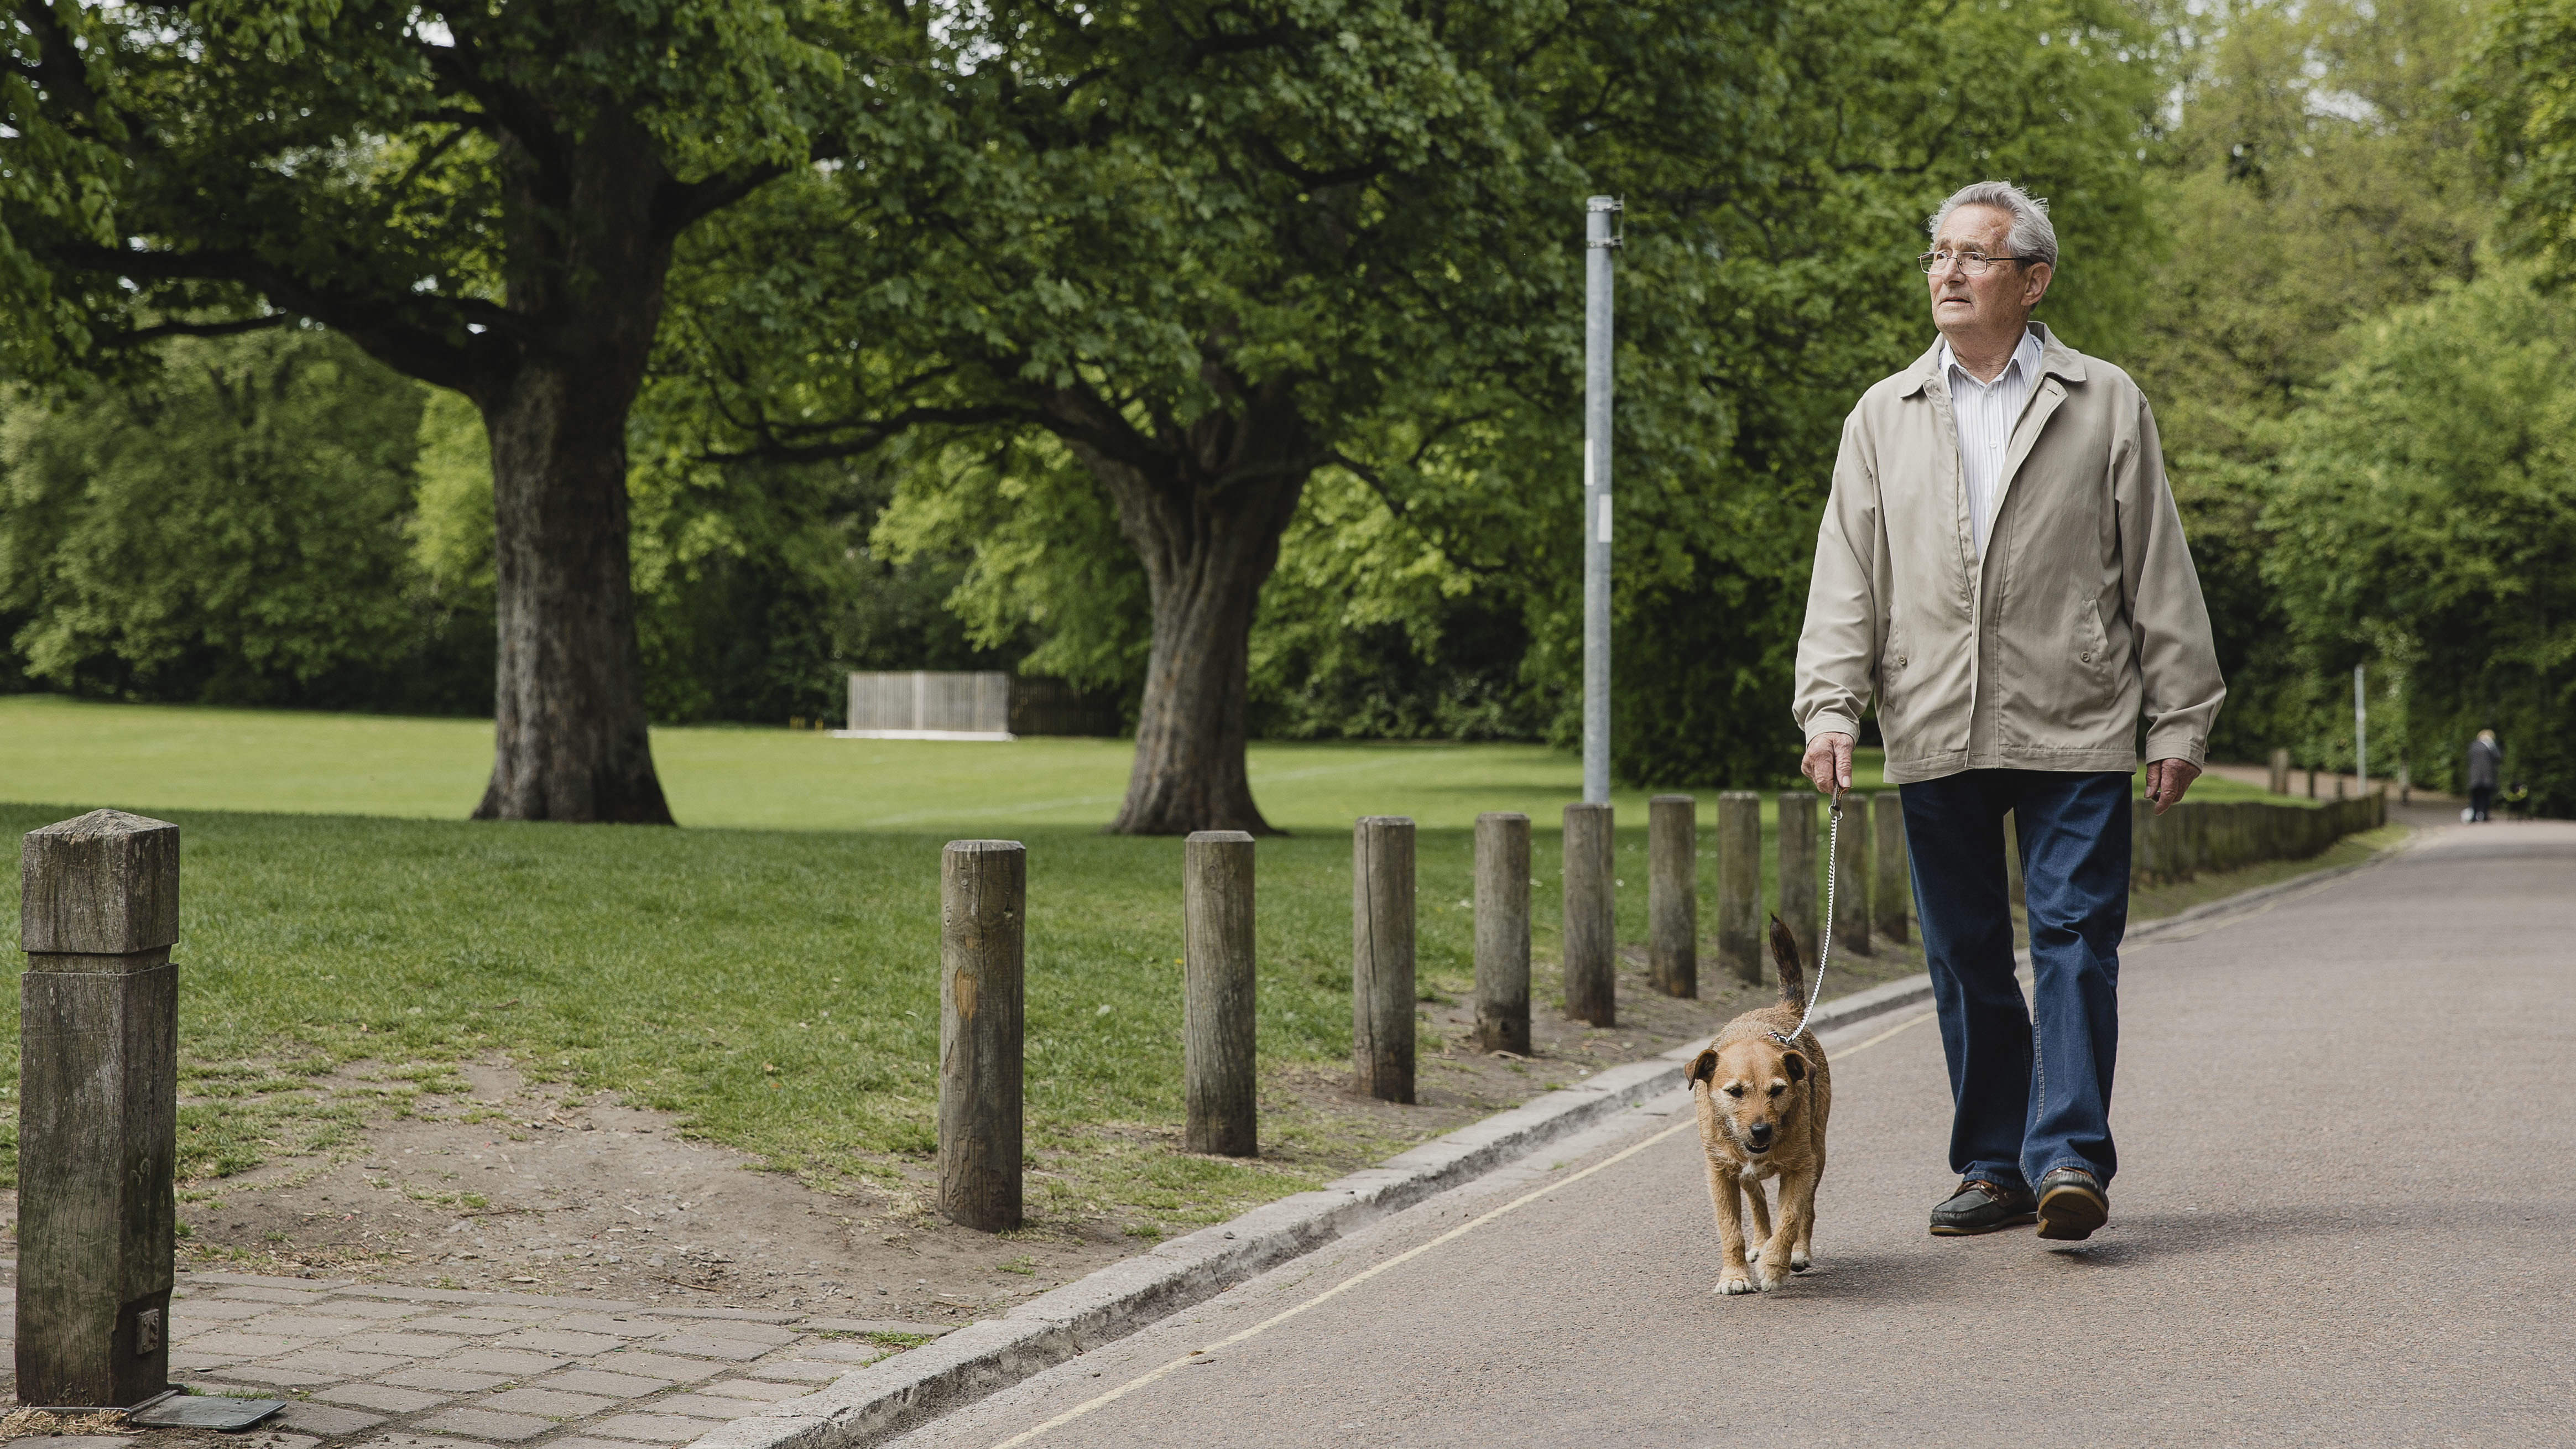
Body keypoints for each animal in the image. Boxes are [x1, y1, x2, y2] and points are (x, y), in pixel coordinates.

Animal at [1689, 913, 1834, 1284]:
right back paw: (1759, 1242)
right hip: (1742, 1173)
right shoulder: (1719, 1174)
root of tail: (1784, 1010)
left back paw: (1798, 1253)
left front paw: (1774, 1263)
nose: (1760, 1131)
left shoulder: (1802, 1168)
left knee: (1807, 1211)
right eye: (1735, 1092)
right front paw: (1734, 1275)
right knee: (1757, 1199)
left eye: (1778, 1090)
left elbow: (1791, 1218)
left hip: (1819, 1154)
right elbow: (1729, 1227)